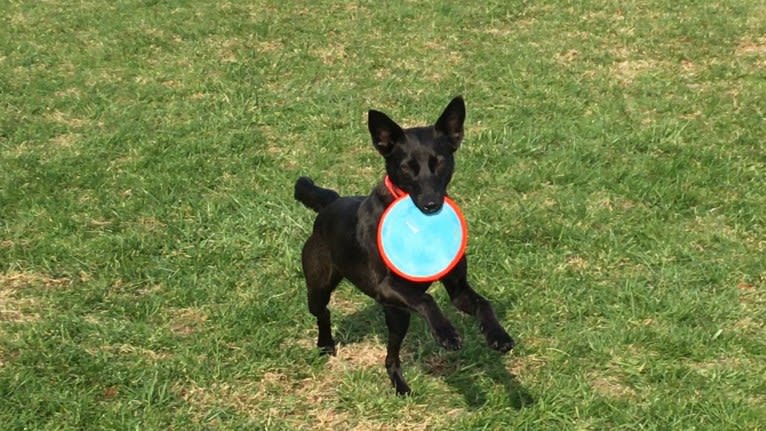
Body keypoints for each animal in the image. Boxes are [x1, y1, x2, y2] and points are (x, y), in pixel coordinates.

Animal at [296, 97, 516, 394]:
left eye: (440, 162)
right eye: (406, 167)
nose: (432, 205)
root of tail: (331, 202)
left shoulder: (458, 290)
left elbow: (484, 304)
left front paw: (498, 335)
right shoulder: (386, 287)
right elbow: (427, 299)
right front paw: (447, 333)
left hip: (397, 315)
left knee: (391, 356)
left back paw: (399, 384)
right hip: (319, 287)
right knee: (324, 312)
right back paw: (326, 344)